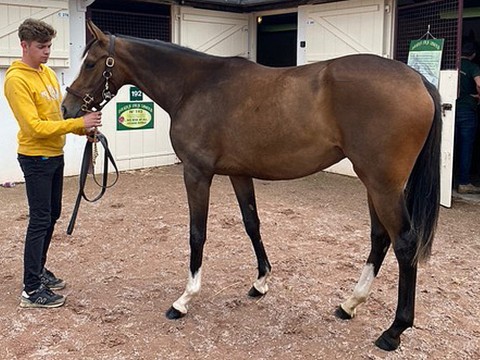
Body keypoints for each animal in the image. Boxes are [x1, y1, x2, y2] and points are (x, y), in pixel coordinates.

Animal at [62, 21, 440, 350]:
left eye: (91, 63)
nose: (67, 108)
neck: (195, 86)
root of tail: (419, 80)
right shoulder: (239, 174)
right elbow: (251, 223)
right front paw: (261, 282)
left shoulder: (197, 173)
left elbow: (197, 232)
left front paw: (184, 299)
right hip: (373, 183)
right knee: (379, 238)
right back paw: (350, 304)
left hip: (383, 185)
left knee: (404, 243)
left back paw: (394, 331)